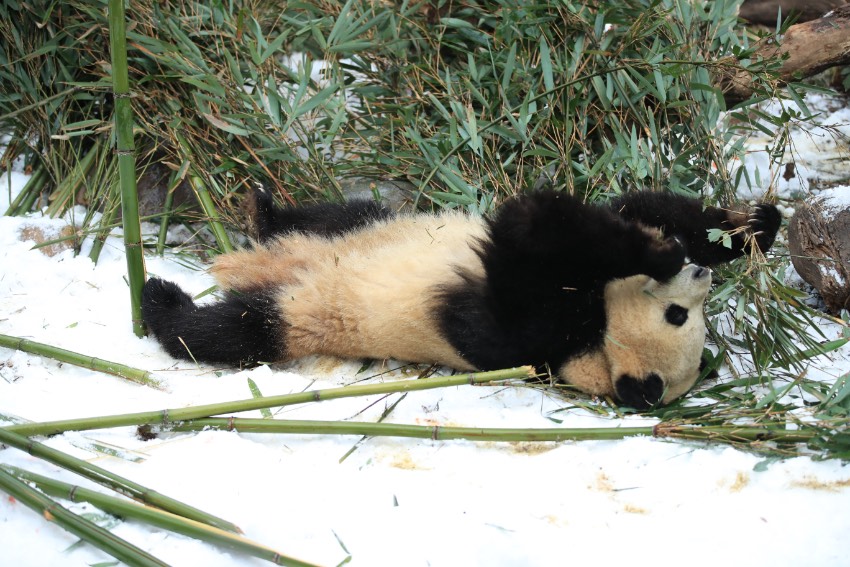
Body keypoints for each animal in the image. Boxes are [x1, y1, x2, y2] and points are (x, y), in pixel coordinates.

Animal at [142, 190, 780, 408]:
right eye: (680, 314)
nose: (699, 276)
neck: (590, 349)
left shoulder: (527, 336)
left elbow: (531, 245)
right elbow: (634, 207)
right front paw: (747, 226)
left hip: (309, 310)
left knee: (231, 330)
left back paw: (161, 297)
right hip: (367, 227)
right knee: (328, 216)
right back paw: (262, 211)